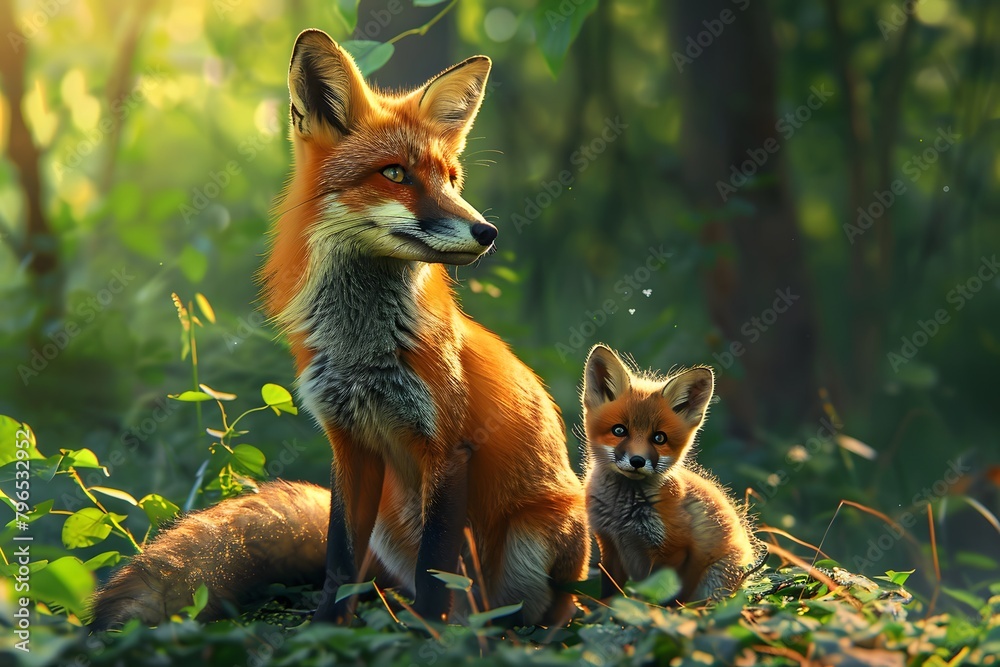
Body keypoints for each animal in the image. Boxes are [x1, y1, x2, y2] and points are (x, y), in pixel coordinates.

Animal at [91, 29, 589, 629]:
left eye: (452, 179)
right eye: (395, 173)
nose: (486, 231)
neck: (361, 350)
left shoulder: (448, 448)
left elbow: (436, 570)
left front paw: (430, 634)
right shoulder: (348, 444)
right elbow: (339, 558)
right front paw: (328, 629)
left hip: (537, 537)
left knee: (535, 608)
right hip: (392, 522)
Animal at [581, 344, 765, 603]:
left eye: (659, 438)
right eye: (619, 431)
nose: (637, 461)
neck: (623, 516)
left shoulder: (674, 551)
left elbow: (659, 596)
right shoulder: (609, 545)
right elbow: (610, 594)